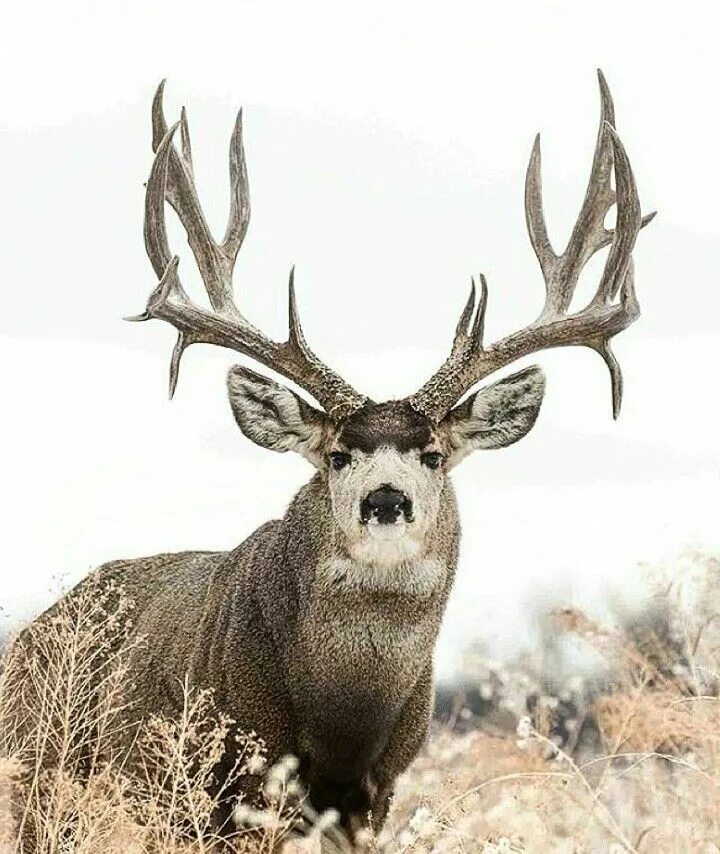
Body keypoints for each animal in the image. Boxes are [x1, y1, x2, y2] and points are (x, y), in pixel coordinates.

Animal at [31, 72, 652, 844]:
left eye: (433, 454)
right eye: (335, 455)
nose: (386, 500)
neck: (341, 726)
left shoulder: (375, 795)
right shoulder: (221, 787)